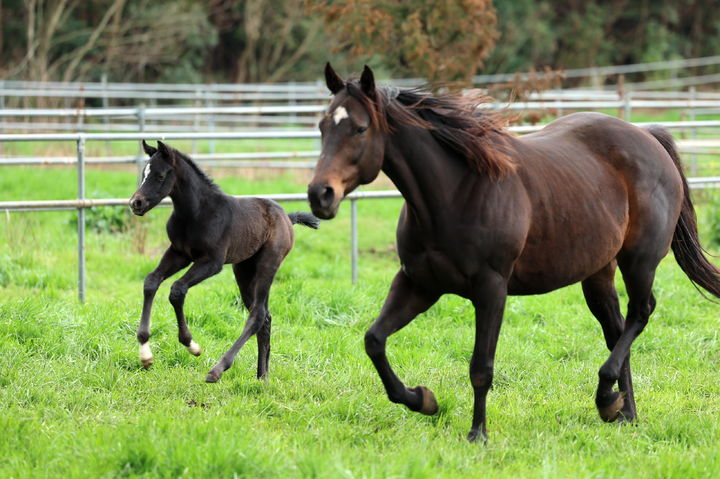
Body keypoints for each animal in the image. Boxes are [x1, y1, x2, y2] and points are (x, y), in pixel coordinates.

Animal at [310, 63, 720, 442]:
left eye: (360, 128)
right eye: (322, 126)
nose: (319, 195)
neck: (454, 192)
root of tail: (647, 136)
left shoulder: (491, 289)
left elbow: (481, 366)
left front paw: (478, 434)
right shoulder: (418, 283)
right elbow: (374, 341)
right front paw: (422, 399)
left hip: (639, 261)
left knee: (640, 314)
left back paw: (607, 399)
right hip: (597, 272)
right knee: (617, 332)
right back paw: (624, 411)